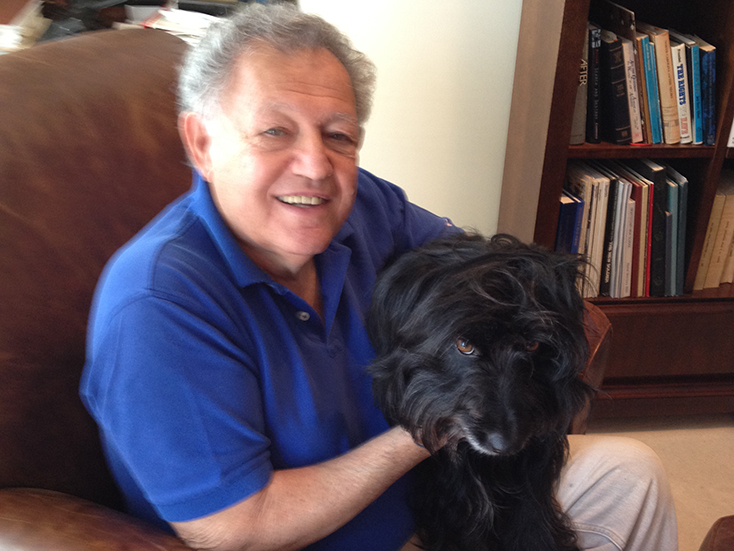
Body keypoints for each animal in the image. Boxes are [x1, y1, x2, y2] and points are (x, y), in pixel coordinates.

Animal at [370, 234, 596, 551]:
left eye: (533, 345)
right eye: (463, 344)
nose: (505, 445)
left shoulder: (531, 481)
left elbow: (534, 528)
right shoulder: (450, 501)